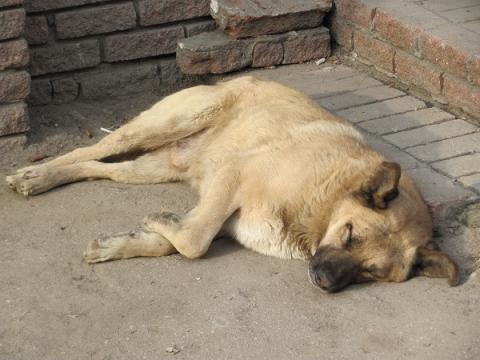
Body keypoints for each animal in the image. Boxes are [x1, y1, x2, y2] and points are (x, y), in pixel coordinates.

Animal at [5, 76, 460, 292]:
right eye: (350, 236)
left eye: (371, 272)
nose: (323, 281)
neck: (322, 205)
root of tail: (244, 79)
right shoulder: (232, 177)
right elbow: (193, 241)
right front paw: (157, 221)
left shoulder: (226, 217)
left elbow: (176, 240)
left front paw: (124, 242)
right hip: (163, 125)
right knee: (89, 149)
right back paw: (35, 175)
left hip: (156, 165)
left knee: (100, 167)